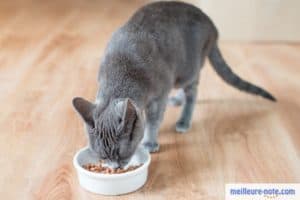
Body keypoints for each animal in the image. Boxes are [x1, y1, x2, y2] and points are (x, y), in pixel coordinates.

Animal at [72, 1, 274, 167]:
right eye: (102, 157)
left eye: (121, 154)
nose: (115, 168)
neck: (121, 73)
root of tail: (212, 25)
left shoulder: (159, 95)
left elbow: (153, 120)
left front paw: (150, 141)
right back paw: (177, 100)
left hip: (187, 70)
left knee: (193, 92)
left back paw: (183, 120)